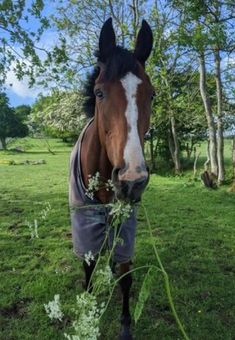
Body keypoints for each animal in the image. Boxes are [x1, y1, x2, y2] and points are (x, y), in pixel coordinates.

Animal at [69, 17, 154, 340]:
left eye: (152, 94)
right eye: (99, 92)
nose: (131, 179)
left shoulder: (126, 224)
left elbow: (125, 274)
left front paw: (126, 326)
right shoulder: (85, 226)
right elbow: (89, 271)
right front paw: (88, 312)